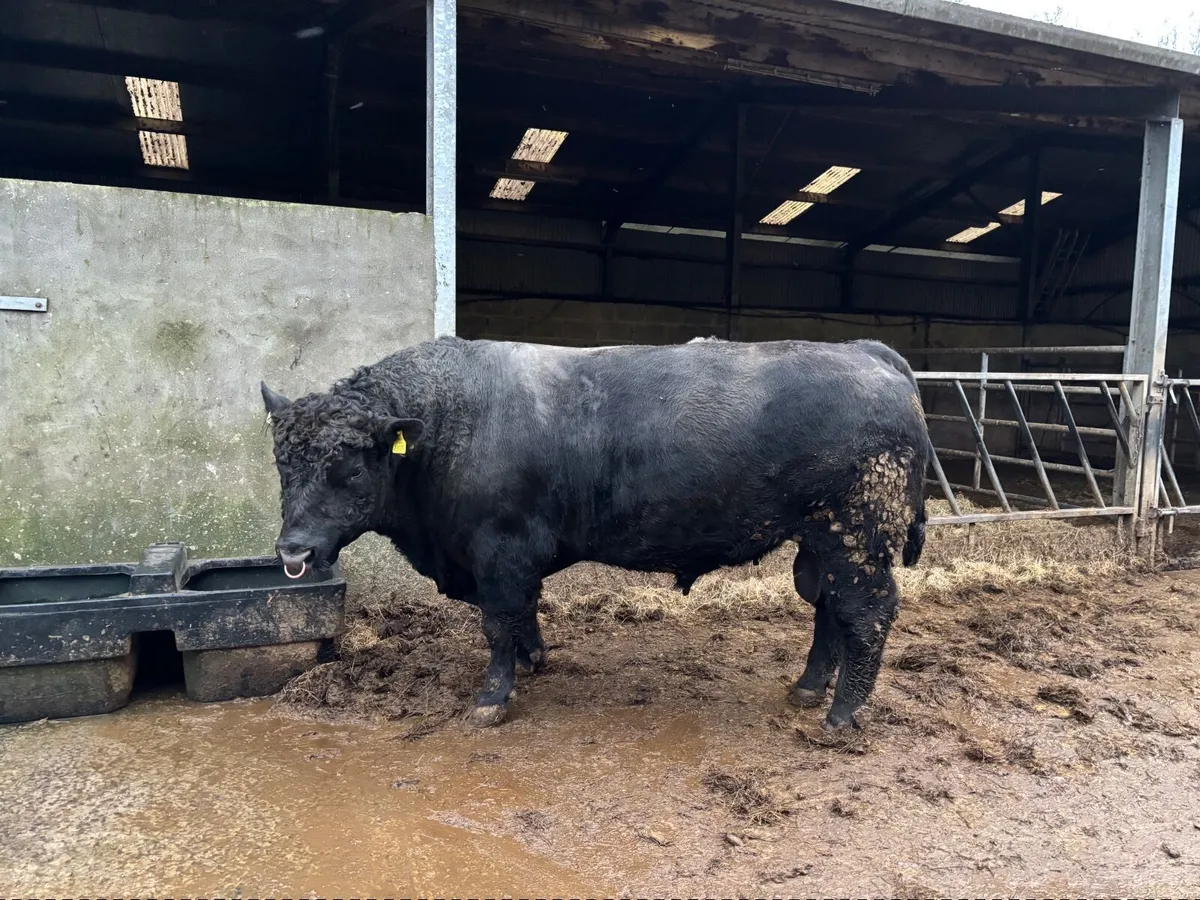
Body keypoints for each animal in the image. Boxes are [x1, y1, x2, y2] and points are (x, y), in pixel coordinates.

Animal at [260, 335, 929, 731]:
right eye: (281, 464)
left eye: (349, 469)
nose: (294, 549)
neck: (452, 424)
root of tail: (867, 352)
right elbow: (523, 616)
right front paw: (533, 660)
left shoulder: (499, 553)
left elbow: (498, 623)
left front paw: (490, 700)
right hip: (822, 541)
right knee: (829, 609)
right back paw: (808, 690)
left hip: (858, 534)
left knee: (866, 612)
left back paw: (841, 717)